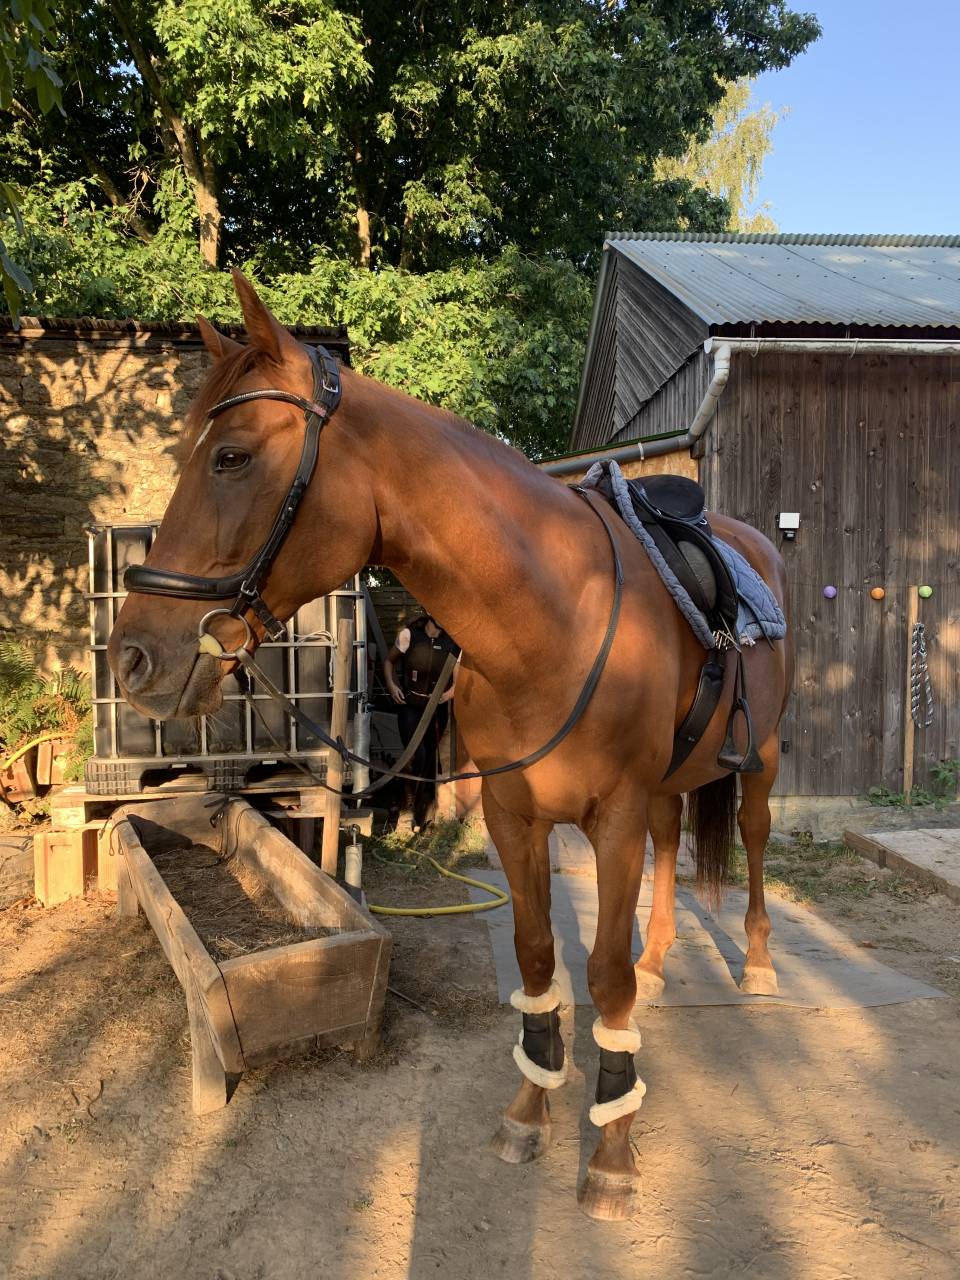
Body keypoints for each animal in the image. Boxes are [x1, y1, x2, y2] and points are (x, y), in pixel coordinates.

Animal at [108, 270, 793, 1221]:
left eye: (233, 457)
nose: (133, 655)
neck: (554, 620)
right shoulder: (512, 814)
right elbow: (541, 958)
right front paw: (531, 1111)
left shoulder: (611, 819)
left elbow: (604, 975)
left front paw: (613, 1154)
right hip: (664, 786)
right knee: (671, 845)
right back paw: (663, 961)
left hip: (760, 760)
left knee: (754, 843)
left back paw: (757, 967)